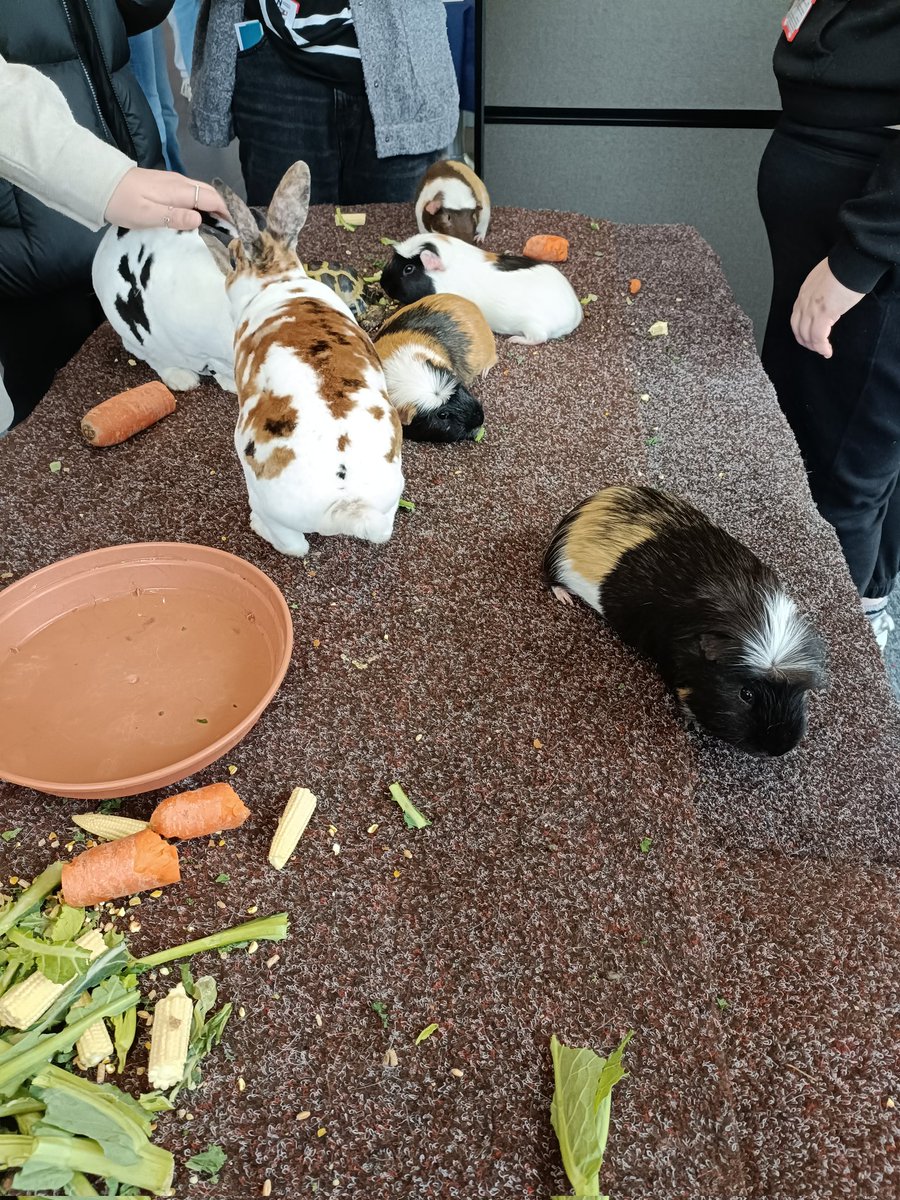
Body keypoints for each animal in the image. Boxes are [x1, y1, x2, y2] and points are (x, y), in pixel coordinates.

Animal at [213, 160, 403, 556]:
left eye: (235, 259)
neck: (278, 283)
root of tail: (342, 504)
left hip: (265, 496)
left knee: (293, 546)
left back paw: (258, 526)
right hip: (390, 498)